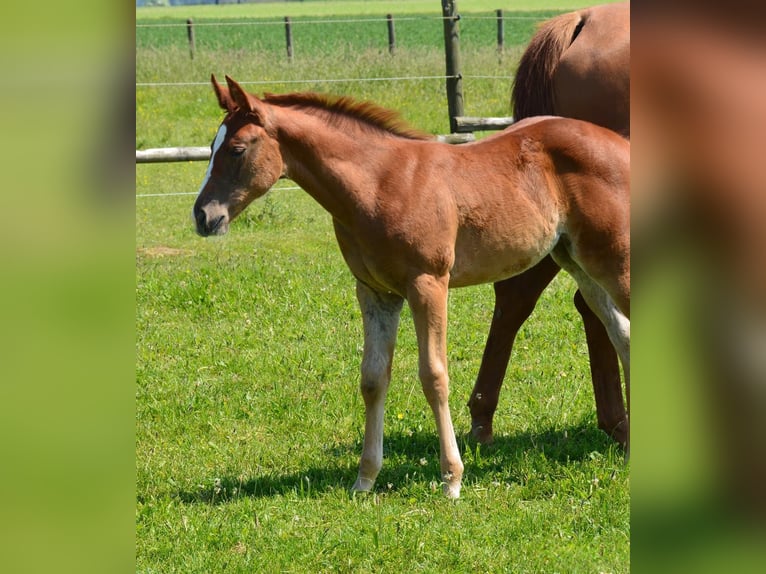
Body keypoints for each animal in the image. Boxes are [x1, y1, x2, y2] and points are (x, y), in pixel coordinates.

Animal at [194, 76, 632, 500]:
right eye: (211, 147)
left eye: (236, 149)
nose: (202, 216)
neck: (379, 184)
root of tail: (622, 144)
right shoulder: (375, 293)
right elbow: (372, 378)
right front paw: (365, 478)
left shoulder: (428, 284)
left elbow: (434, 376)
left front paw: (452, 479)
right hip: (579, 263)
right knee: (623, 335)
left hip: (615, 260)